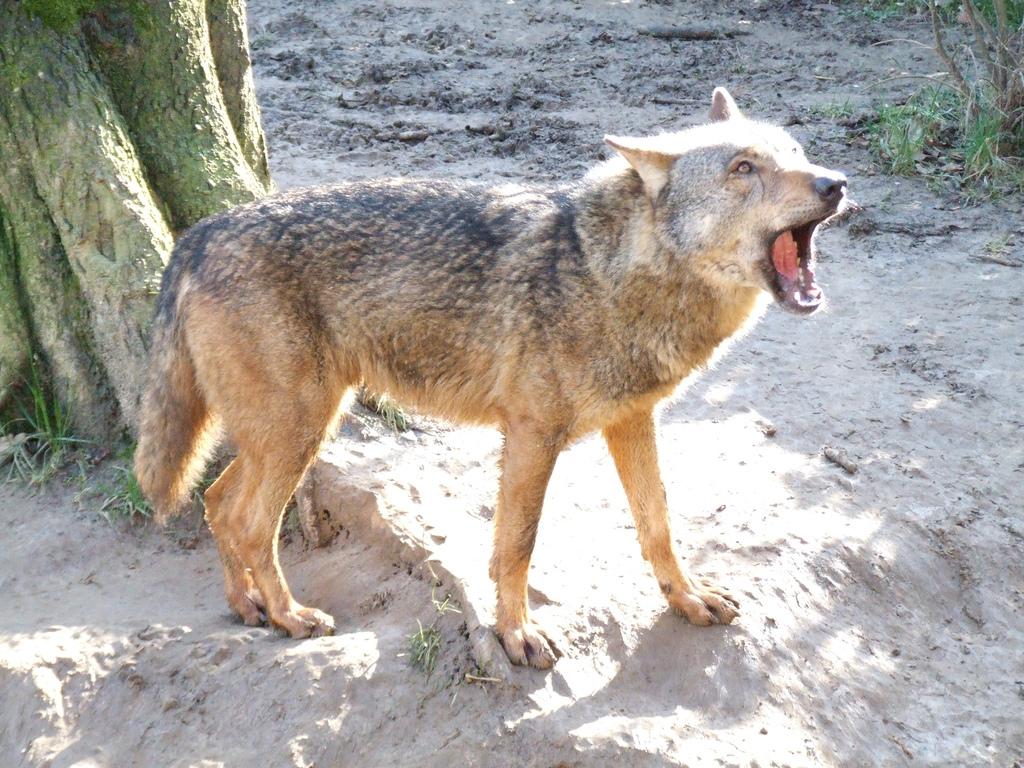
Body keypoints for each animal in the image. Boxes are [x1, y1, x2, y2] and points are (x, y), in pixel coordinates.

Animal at [134, 87, 847, 669]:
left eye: (796, 152)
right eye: (744, 169)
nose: (836, 183)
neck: (611, 275)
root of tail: (198, 233)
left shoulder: (632, 421)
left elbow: (658, 525)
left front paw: (688, 599)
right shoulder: (532, 434)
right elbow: (517, 547)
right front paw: (515, 636)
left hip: (292, 431)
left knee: (217, 504)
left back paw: (248, 608)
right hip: (303, 429)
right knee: (250, 522)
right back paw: (289, 617)